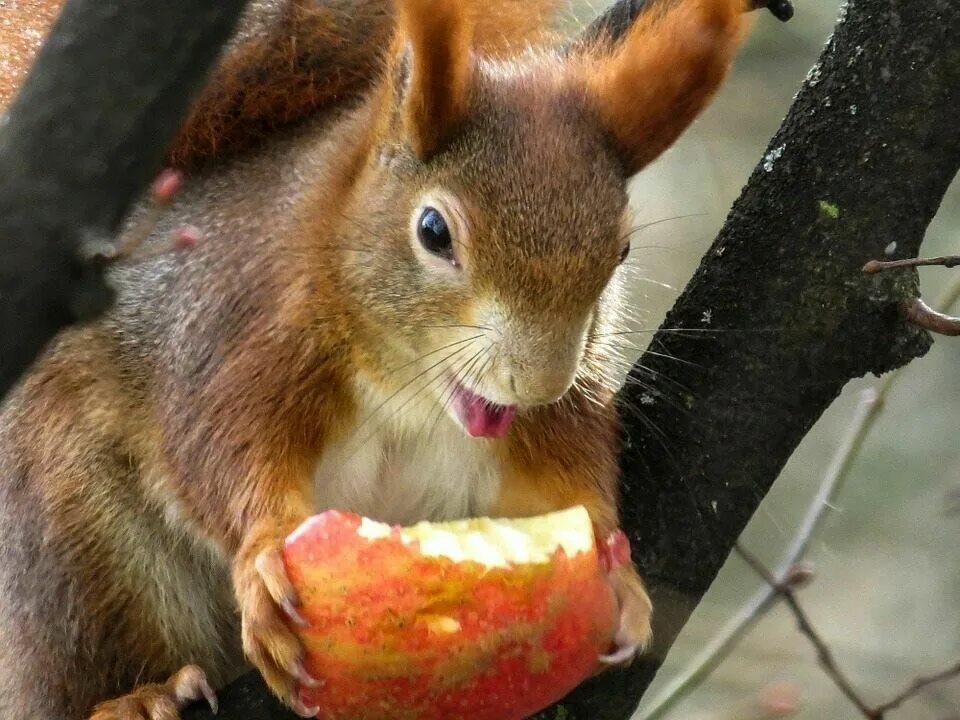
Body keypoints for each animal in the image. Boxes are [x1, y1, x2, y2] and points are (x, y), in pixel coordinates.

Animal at [0, 0, 752, 716]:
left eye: (621, 250)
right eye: (433, 231)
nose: (537, 384)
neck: (411, 388)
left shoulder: (569, 407)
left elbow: (569, 483)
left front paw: (616, 575)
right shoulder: (240, 343)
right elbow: (220, 455)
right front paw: (264, 556)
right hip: (80, 545)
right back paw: (138, 697)